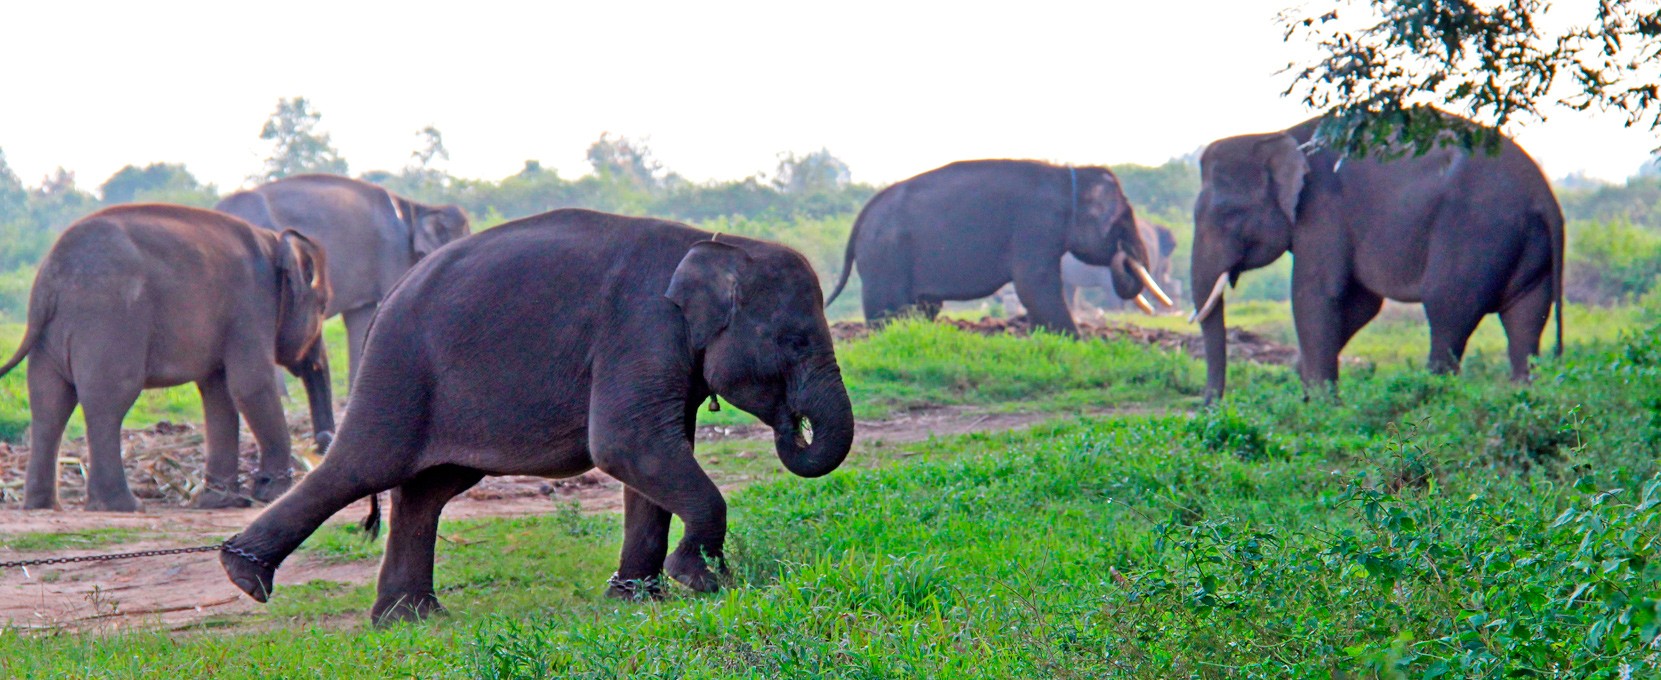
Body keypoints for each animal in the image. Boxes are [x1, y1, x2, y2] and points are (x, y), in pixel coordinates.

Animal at [0, 203, 337, 512]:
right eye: (323, 305)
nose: (323, 438)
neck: (275, 241)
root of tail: (48, 280)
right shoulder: (251, 305)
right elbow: (251, 386)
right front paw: (272, 494)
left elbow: (219, 393)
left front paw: (220, 501)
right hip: (110, 321)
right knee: (108, 401)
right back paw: (122, 506)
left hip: (51, 335)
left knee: (49, 404)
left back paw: (42, 505)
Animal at [220, 207, 850, 625]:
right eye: (795, 342)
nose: (792, 423)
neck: (720, 244)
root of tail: (390, 297)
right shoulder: (641, 328)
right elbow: (627, 445)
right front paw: (699, 581)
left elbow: (652, 460)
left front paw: (636, 598)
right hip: (399, 369)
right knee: (364, 466)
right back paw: (244, 576)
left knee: (428, 490)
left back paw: (411, 617)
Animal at [827, 159, 1169, 339]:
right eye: (1123, 221)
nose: (1124, 253)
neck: (1069, 176)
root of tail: (862, 217)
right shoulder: (1035, 226)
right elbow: (1034, 285)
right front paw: (1075, 340)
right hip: (885, 258)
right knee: (886, 309)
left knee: (924, 307)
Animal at [1195, 108, 1554, 400]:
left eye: (1228, 214)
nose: (1213, 408)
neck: (1278, 134)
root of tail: (1544, 196)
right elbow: (1361, 303)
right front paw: (1306, 386)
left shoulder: (1322, 209)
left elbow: (1316, 294)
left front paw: (1323, 407)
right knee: (1526, 320)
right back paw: (1522, 397)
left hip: (1475, 232)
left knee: (1447, 311)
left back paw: (1430, 398)